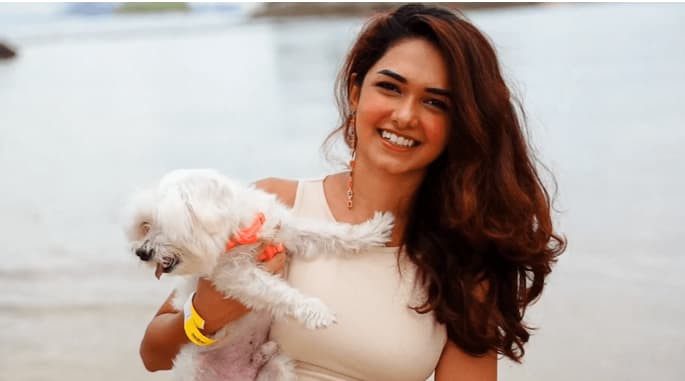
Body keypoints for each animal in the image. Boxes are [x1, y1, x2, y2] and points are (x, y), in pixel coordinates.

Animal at [125, 169, 392, 380]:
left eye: (165, 224)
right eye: (145, 225)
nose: (141, 252)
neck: (239, 232)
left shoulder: (284, 230)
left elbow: (326, 232)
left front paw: (371, 231)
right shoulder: (235, 276)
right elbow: (277, 291)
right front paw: (316, 310)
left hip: (278, 369)